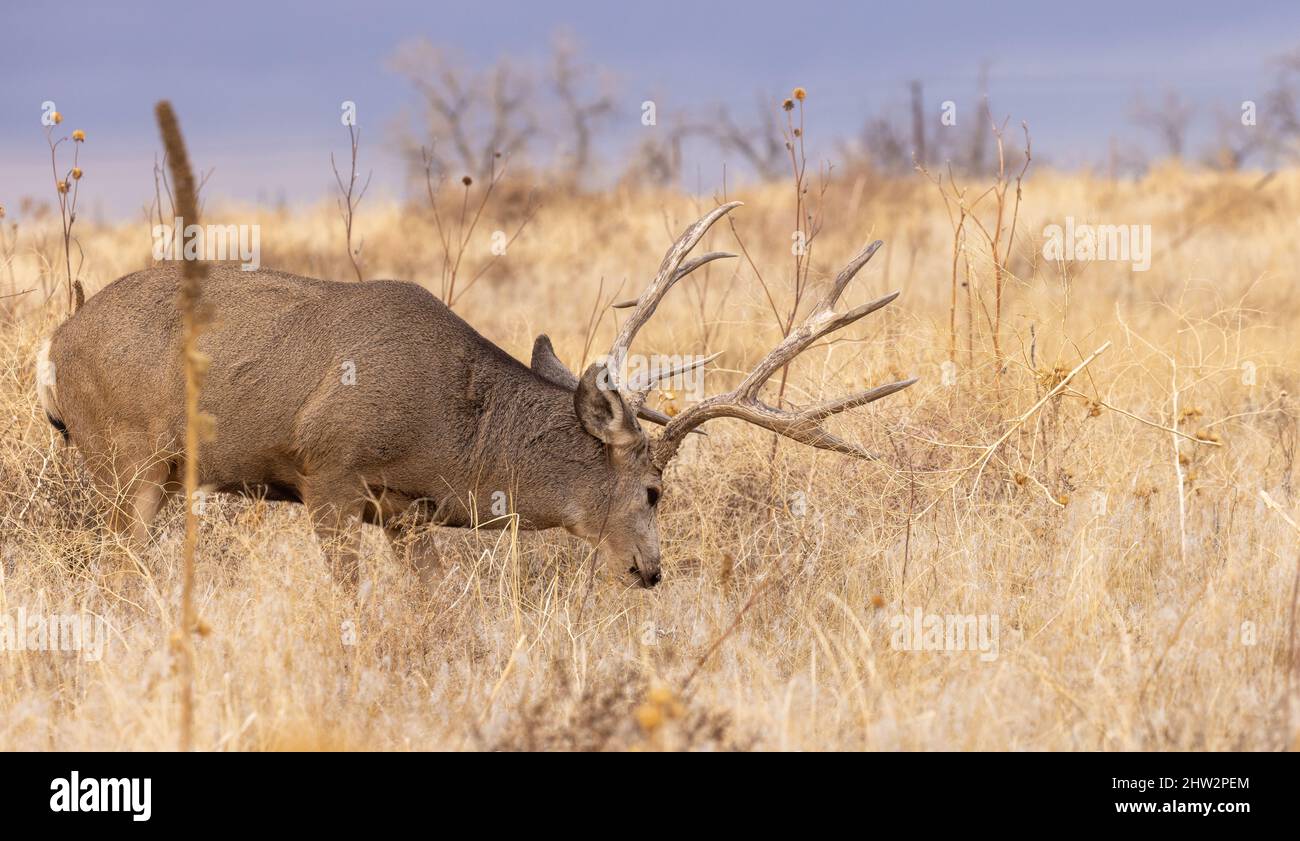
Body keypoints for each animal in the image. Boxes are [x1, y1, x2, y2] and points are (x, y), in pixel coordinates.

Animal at [36, 201, 914, 588]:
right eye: (656, 491)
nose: (651, 571)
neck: (451, 431)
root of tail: (56, 340)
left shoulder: (404, 508)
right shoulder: (328, 469)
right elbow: (352, 595)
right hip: (126, 458)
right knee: (115, 567)